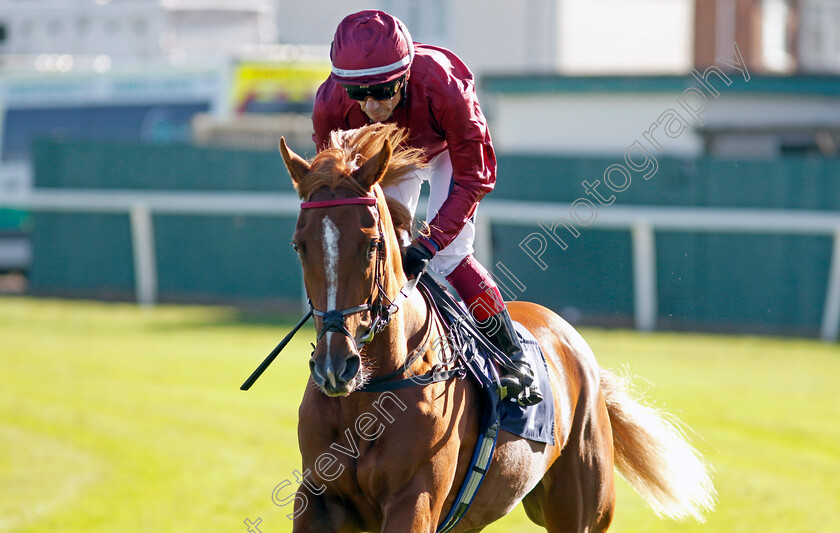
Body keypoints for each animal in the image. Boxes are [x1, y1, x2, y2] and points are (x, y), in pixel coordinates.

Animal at [278, 122, 716, 528]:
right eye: (299, 245)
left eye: (372, 244)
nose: (335, 366)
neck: (372, 390)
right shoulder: (318, 498)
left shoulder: (415, 500)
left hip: (581, 508)